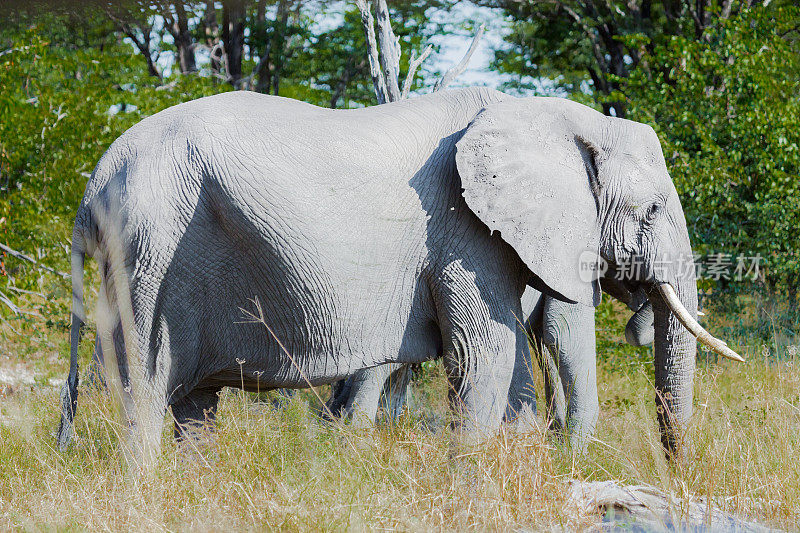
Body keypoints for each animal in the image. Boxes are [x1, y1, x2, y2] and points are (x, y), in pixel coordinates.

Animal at [57, 84, 736, 466]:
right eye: (652, 210)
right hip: (149, 249)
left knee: (196, 404)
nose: (676, 470)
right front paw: (474, 483)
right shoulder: (463, 231)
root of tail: (93, 183)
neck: (548, 116)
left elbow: (511, 357)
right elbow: (488, 352)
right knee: (147, 385)